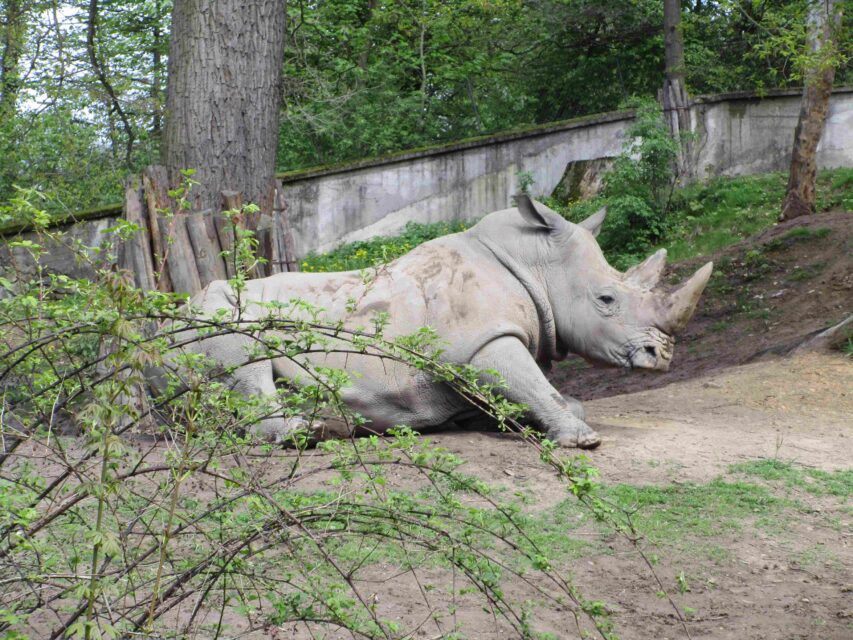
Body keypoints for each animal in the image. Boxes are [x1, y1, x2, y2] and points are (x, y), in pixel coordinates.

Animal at [179, 196, 712, 448]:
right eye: (606, 299)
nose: (662, 357)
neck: (535, 264)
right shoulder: (481, 343)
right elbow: (530, 383)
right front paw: (581, 440)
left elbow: (537, 395)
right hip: (205, 317)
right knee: (239, 347)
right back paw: (304, 434)